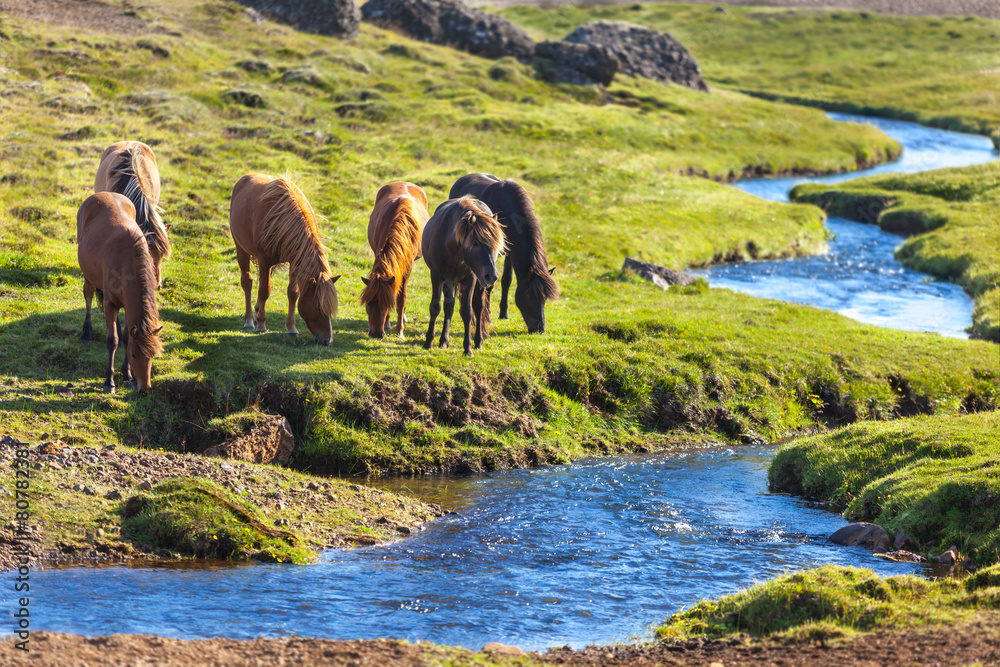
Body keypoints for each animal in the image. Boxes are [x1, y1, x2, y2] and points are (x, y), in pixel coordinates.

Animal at [77, 192, 163, 394]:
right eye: (134, 355)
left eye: (152, 356)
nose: (145, 389)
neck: (127, 262)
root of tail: (103, 194)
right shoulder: (110, 304)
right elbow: (113, 340)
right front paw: (109, 381)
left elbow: (125, 336)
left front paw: (127, 375)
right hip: (88, 276)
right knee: (88, 296)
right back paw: (87, 333)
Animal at [229, 174, 340, 345]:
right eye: (317, 308)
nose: (327, 340)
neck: (283, 221)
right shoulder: (265, 261)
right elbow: (264, 291)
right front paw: (261, 324)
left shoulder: (295, 261)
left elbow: (293, 293)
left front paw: (291, 328)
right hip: (241, 248)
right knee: (247, 282)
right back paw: (249, 321)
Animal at [360, 182, 429, 339]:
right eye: (368, 304)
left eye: (386, 305)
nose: (376, 334)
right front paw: (387, 323)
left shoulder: (408, 267)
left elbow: (401, 297)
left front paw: (400, 330)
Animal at [421, 196, 505, 356]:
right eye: (475, 243)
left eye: (495, 244)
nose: (492, 276)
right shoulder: (437, 275)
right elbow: (436, 307)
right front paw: (428, 341)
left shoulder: (470, 279)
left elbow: (467, 312)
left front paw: (468, 348)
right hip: (451, 279)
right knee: (449, 305)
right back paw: (444, 340)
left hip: (479, 281)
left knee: (479, 307)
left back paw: (478, 341)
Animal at [449, 173, 558, 333]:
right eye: (530, 296)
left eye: (544, 299)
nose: (540, 328)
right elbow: (489, 283)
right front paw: (487, 313)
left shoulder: (509, 253)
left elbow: (506, 280)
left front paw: (503, 313)